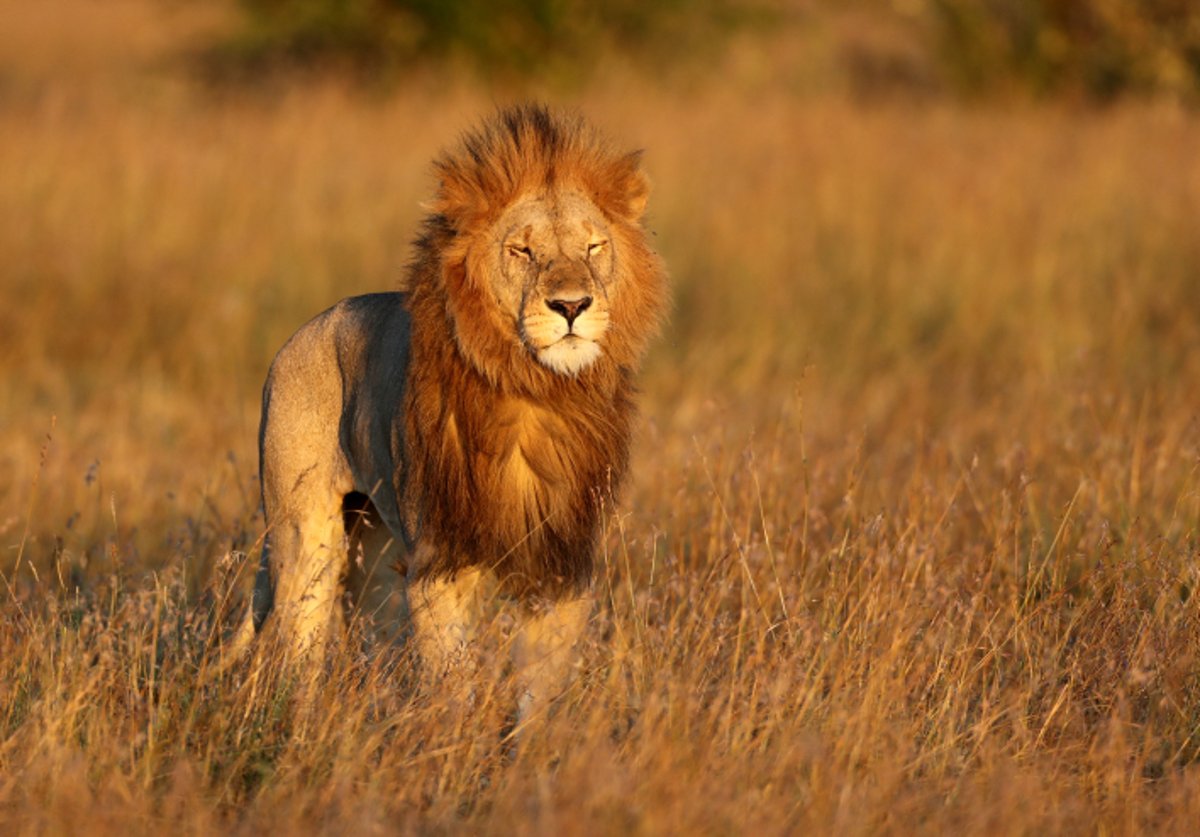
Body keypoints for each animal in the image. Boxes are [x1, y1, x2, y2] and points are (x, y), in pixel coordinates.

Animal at [234, 104, 667, 719]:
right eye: (522, 251)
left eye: (594, 248)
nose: (571, 305)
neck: (535, 391)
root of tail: (304, 329)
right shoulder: (440, 564)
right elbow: (452, 680)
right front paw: (457, 737)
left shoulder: (559, 566)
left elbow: (540, 693)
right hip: (305, 539)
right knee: (299, 645)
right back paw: (296, 721)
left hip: (375, 548)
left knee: (370, 631)